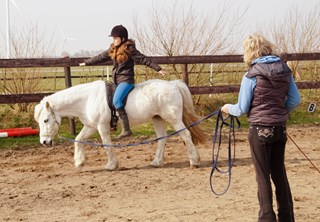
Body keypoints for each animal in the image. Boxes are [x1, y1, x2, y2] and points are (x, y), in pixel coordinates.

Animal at [33, 79, 206, 171]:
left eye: (46, 120)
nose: (44, 142)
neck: (87, 99)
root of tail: (173, 84)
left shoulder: (102, 127)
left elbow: (106, 145)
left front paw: (111, 165)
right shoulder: (91, 127)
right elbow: (78, 140)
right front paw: (79, 161)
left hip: (174, 119)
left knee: (186, 135)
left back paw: (194, 161)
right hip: (157, 119)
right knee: (162, 139)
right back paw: (157, 162)